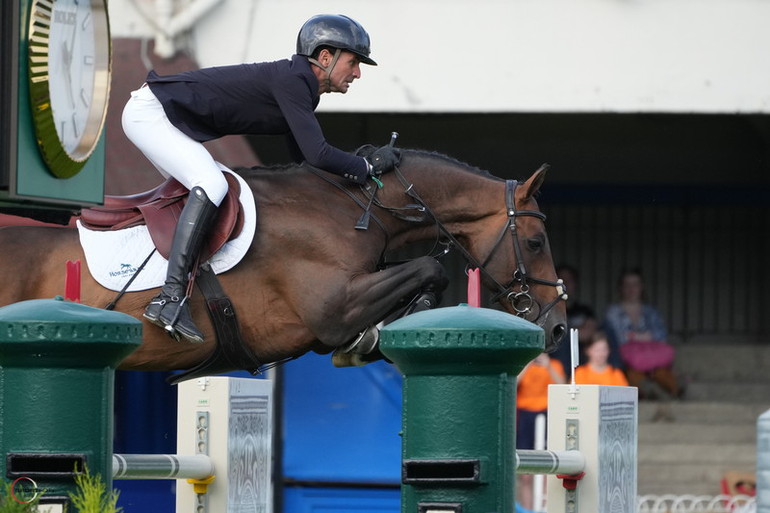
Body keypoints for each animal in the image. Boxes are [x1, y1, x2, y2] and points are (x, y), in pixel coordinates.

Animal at [0, 148, 564, 376]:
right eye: (537, 241)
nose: (558, 326)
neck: (355, 209)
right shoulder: (332, 308)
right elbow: (427, 270)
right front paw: (379, 331)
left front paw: (377, 335)